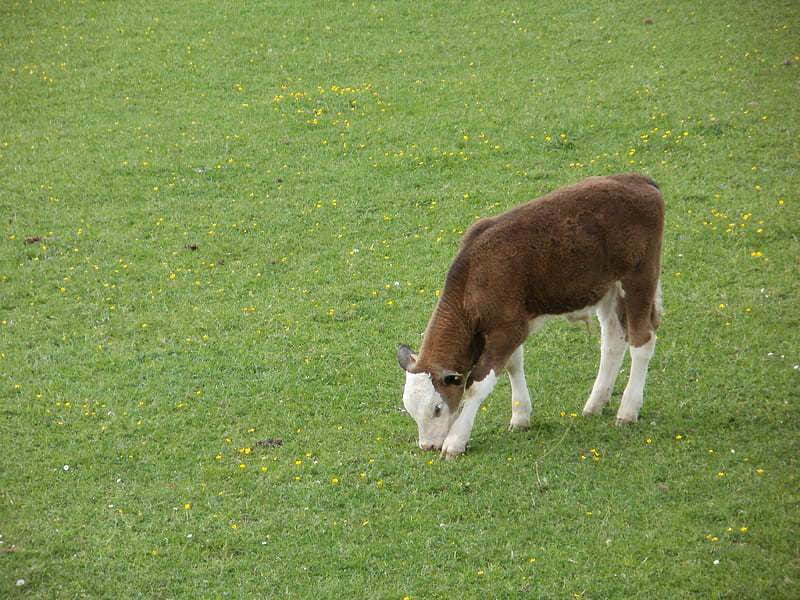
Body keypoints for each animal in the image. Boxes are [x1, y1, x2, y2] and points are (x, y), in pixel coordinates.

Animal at [396, 173, 664, 460]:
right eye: (411, 410)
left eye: (437, 408)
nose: (427, 445)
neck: (473, 279)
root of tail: (637, 179)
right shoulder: (512, 324)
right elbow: (514, 364)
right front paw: (521, 416)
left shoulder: (508, 329)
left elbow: (478, 384)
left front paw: (456, 441)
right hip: (607, 289)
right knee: (613, 341)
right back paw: (595, 404)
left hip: (640, 279)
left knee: (642, 340)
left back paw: (628, 410)